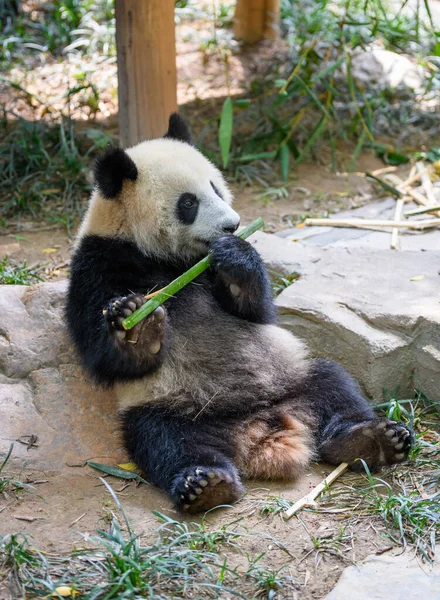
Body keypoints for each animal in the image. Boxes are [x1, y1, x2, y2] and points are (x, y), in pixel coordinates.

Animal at [64, 115, 412, 512]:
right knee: (163, 440)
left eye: (215, 187)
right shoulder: (97, 262)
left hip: (293, 375)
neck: (163, 256)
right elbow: (102, 355)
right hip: (170, 407)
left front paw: (236, 255)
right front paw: (141, 327)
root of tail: (259, 430)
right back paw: (205, 483)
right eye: (188, 202)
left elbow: (259, 313)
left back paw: (370, 439)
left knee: (335, 386)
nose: (231, 225)